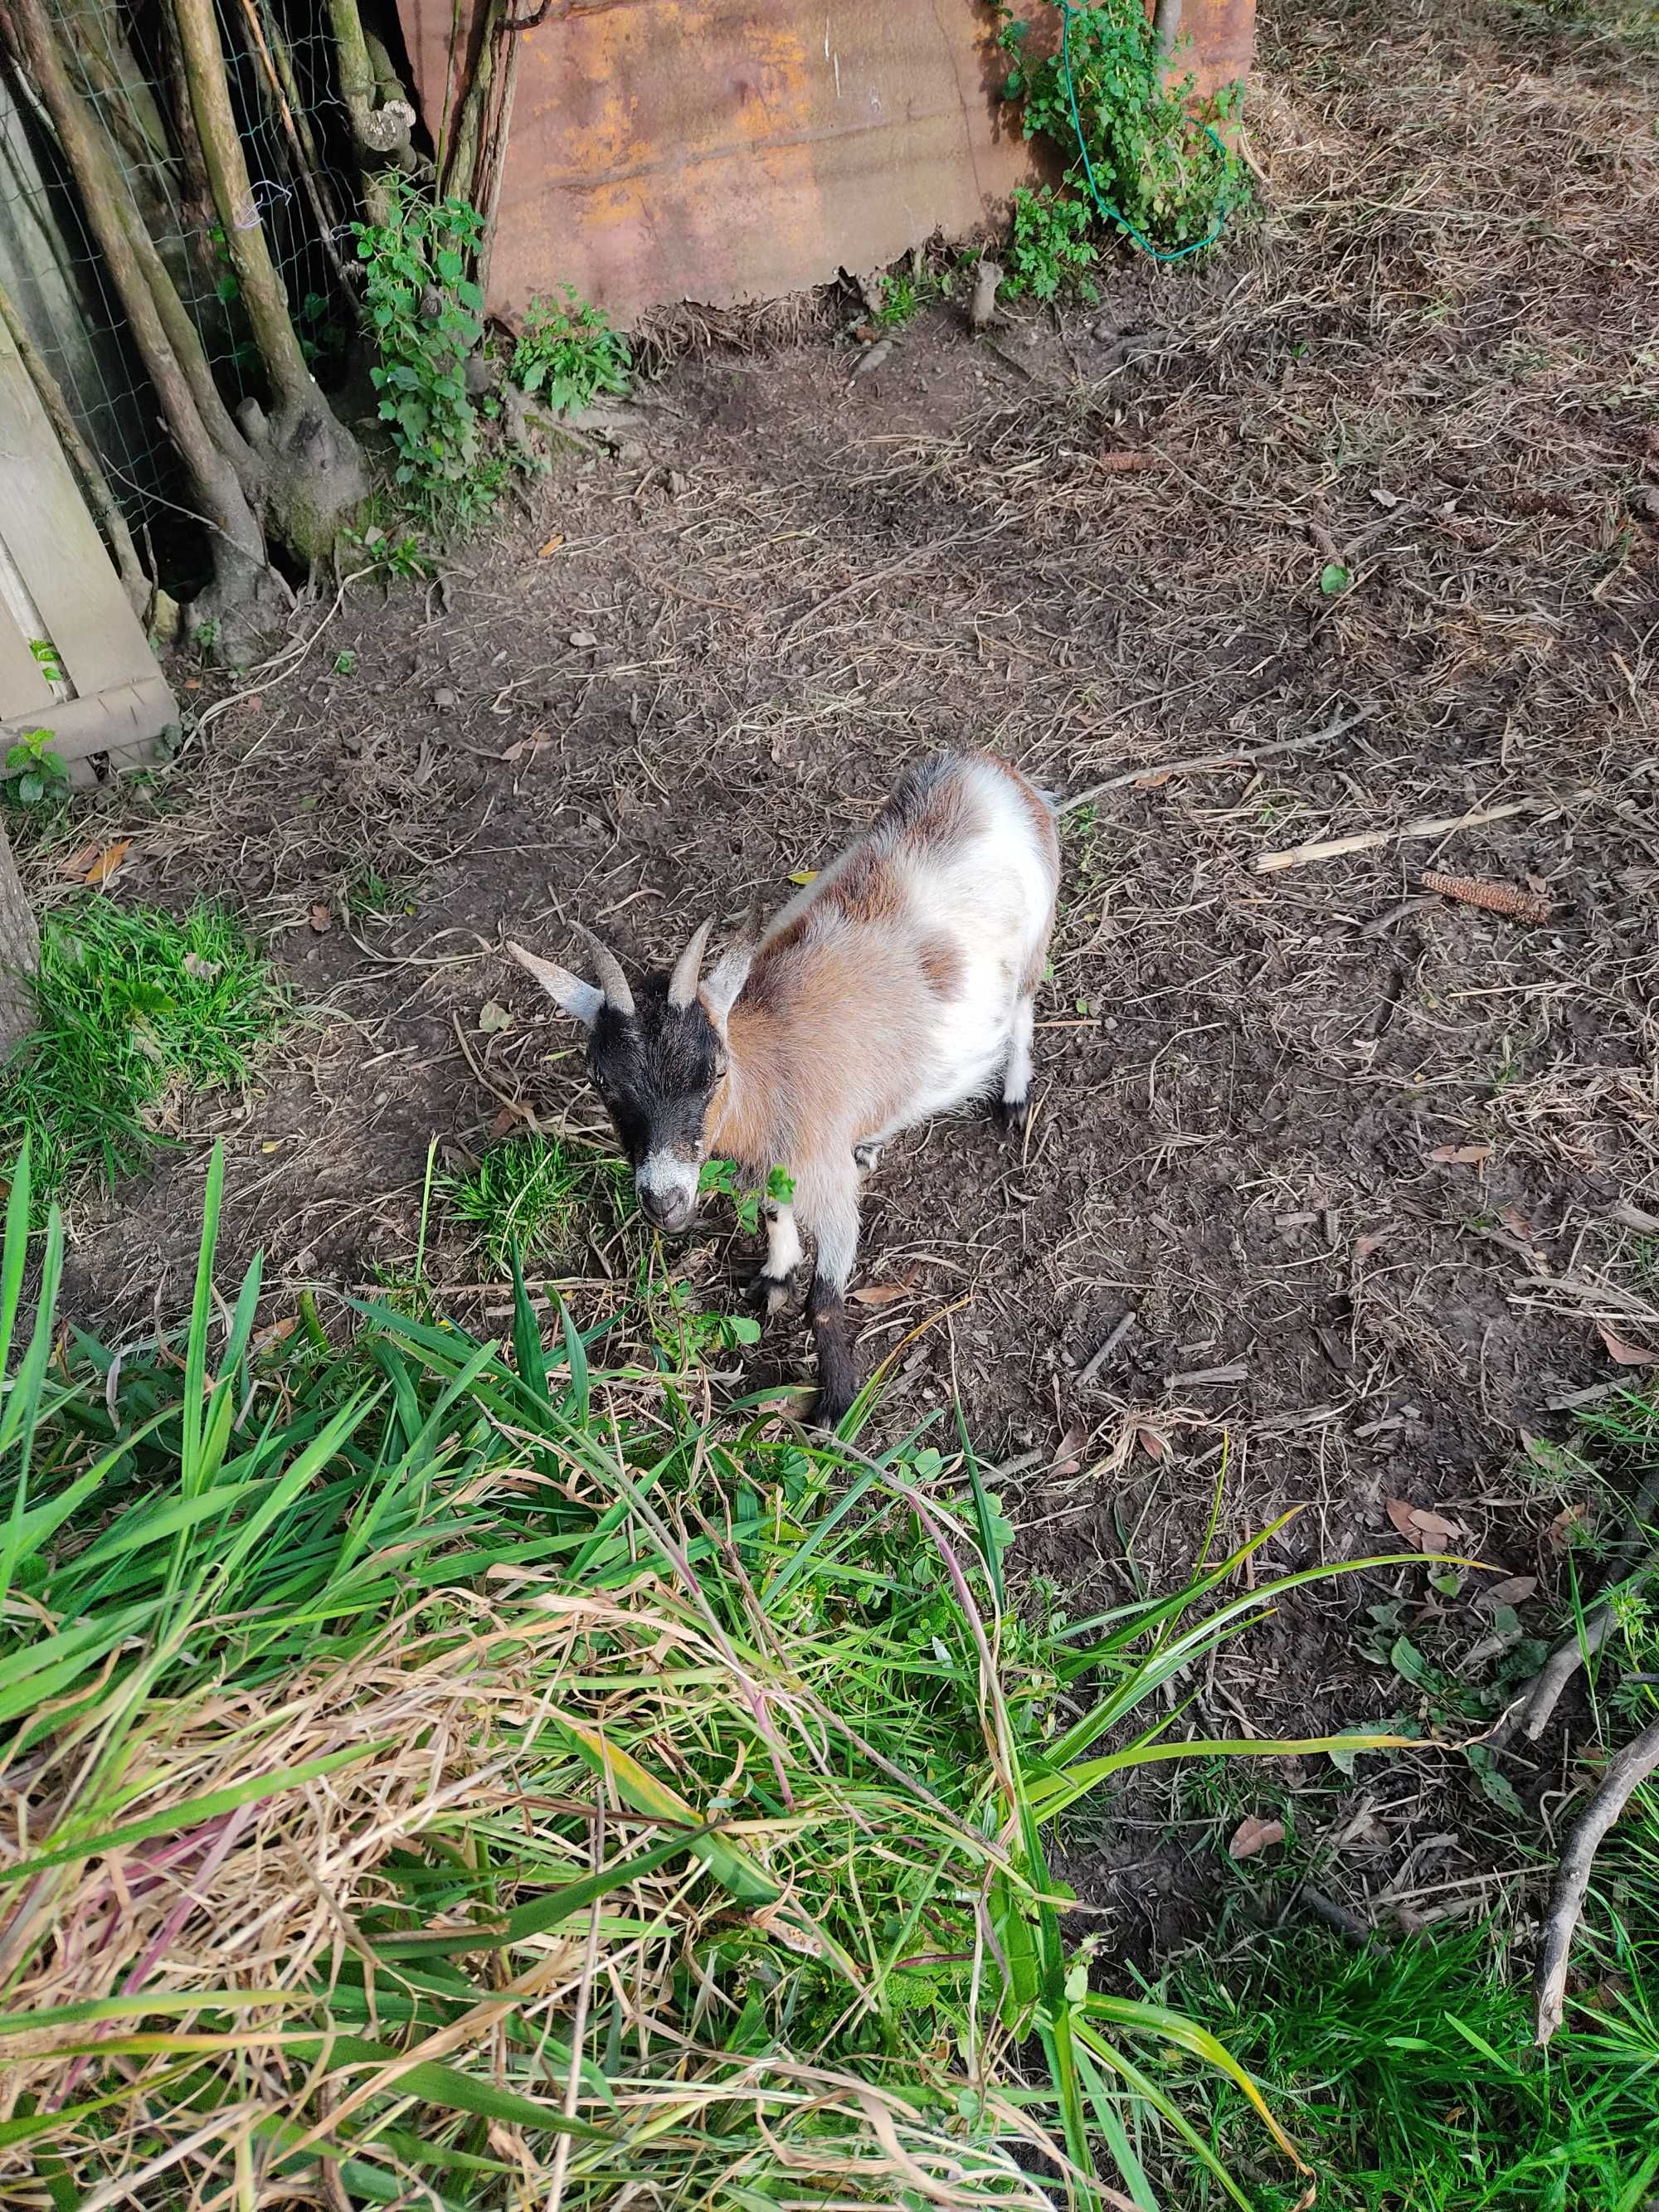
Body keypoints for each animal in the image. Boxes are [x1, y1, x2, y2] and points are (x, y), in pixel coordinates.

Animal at [499, 751, 1066, 1424]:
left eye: (716, 1071)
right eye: (601, 1080)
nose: (664, 1203)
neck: (771, 1068)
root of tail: (987, 769)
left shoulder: (826, 1178)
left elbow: (825, 1295)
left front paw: (837, 1403)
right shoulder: (777, 1165)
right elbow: (772, 1209)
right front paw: (775, 1273)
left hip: (1034, 943)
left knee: (1024, 1011)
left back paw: (1014, 1097)